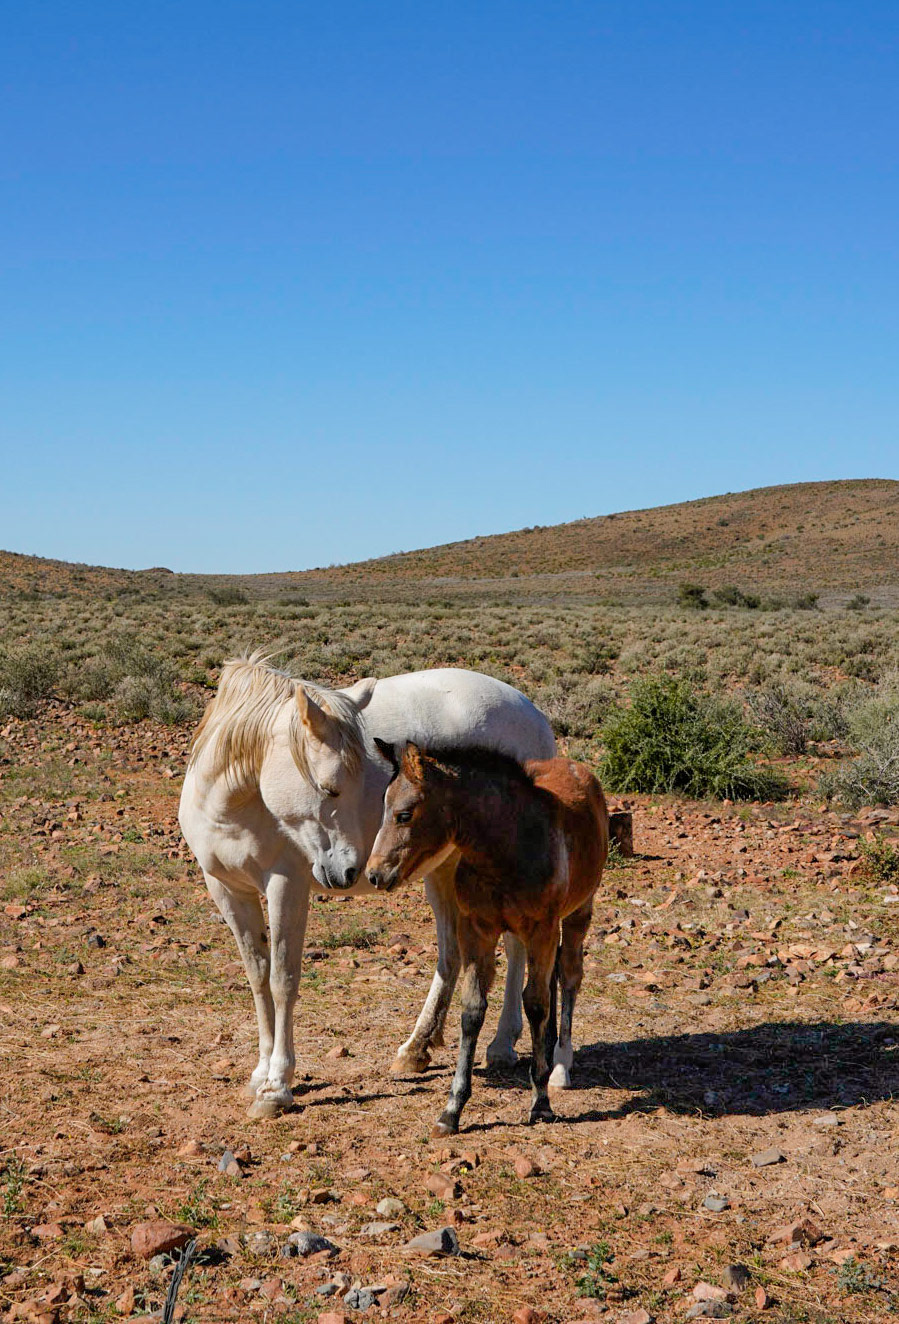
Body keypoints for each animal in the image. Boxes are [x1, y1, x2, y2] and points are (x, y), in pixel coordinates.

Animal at [178, 655, 555, 1118]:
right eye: (329, 788)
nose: (348, 870)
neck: (233, 806)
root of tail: (533, 713)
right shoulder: (227, 890)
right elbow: (258, 976)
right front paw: (260, 1071)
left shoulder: (286, 886)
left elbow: (283, 980)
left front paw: (277, 1086)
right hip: (441, 870)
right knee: (451, 956)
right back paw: (416, 1048)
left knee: (515, 948)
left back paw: (502, 1044)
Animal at [365, 741, 609, 1136]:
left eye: (404, 814)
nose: (374, 874)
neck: (507, 846)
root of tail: (577, 767)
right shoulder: (479, 929)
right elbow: (473, 1011)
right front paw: (452, 1108)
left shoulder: (541, 928)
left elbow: (535, 1004)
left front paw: (541, 1102)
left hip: (578, 911)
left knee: (570, 976)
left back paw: (560, 1064)